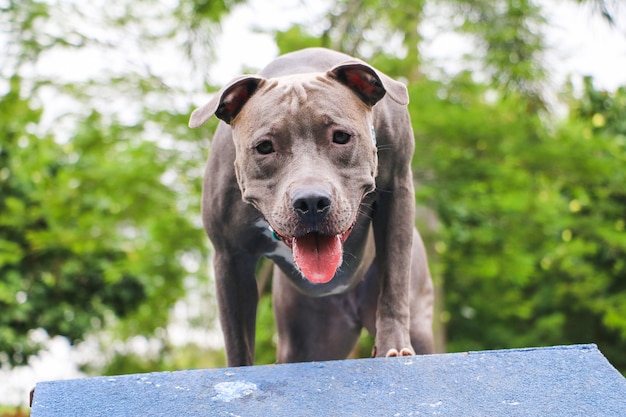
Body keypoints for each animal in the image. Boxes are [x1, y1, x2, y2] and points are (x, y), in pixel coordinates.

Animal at [190, 48, 432, 364]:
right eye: (264, 147)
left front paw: (394, 345)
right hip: (305, 341)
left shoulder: (398, 193)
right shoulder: (230, 256)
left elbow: (394, 278)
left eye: (341, 136)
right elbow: (237, 337)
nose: (312, 201)